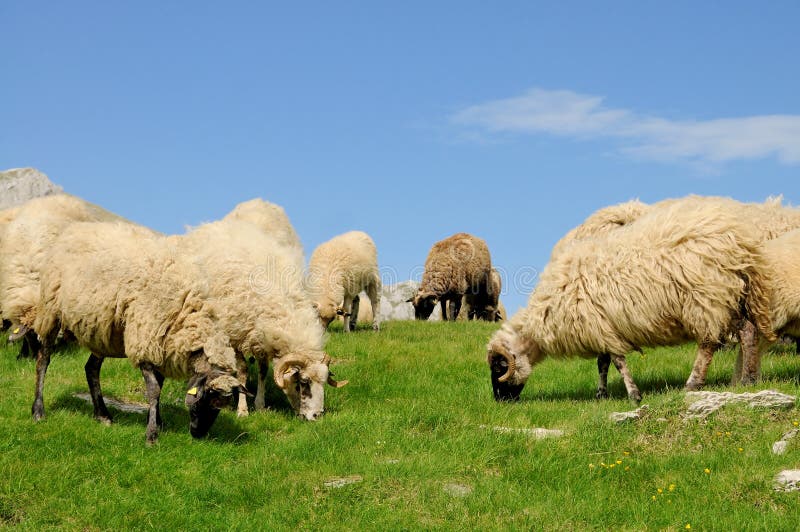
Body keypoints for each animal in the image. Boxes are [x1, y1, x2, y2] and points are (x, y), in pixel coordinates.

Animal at [32, 222, 244, 442]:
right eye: (205, 399)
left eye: (220, 408)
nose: (198, 434)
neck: (186, 311)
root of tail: (75, 229)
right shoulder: (146, 340)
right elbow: (154, 389)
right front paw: (151, 434)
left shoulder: (160, 344)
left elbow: (159, 387)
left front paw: (158, 421)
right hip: (51, 309)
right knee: (43, 360)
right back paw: (39, 411)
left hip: (101, 330)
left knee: (91, 369)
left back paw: (102, 415)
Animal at [488, 198, 776, 404]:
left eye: (500, 367)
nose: (500, 401)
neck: (545, 313)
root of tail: (739, 242)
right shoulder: (601, 326)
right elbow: (603, 363)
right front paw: (601, 395)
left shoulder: (599, 327)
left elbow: (618, 362)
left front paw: (634, 395)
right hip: (731, 296)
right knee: (748, 332)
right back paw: (747, 380)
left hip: (707, 299)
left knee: (708, 345)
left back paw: (693, 384)